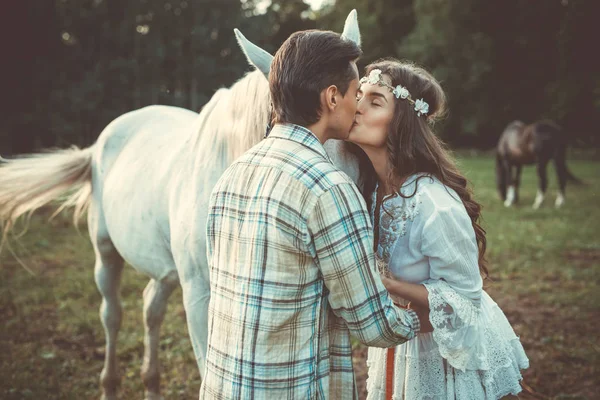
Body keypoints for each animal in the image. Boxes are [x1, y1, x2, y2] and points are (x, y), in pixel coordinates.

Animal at [0, 10, 360, 398]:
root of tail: (100, 143)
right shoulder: (200, 296)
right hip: (106, 253)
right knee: (112, 315)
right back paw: (110, 383)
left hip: (164, 269)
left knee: (150, 308)